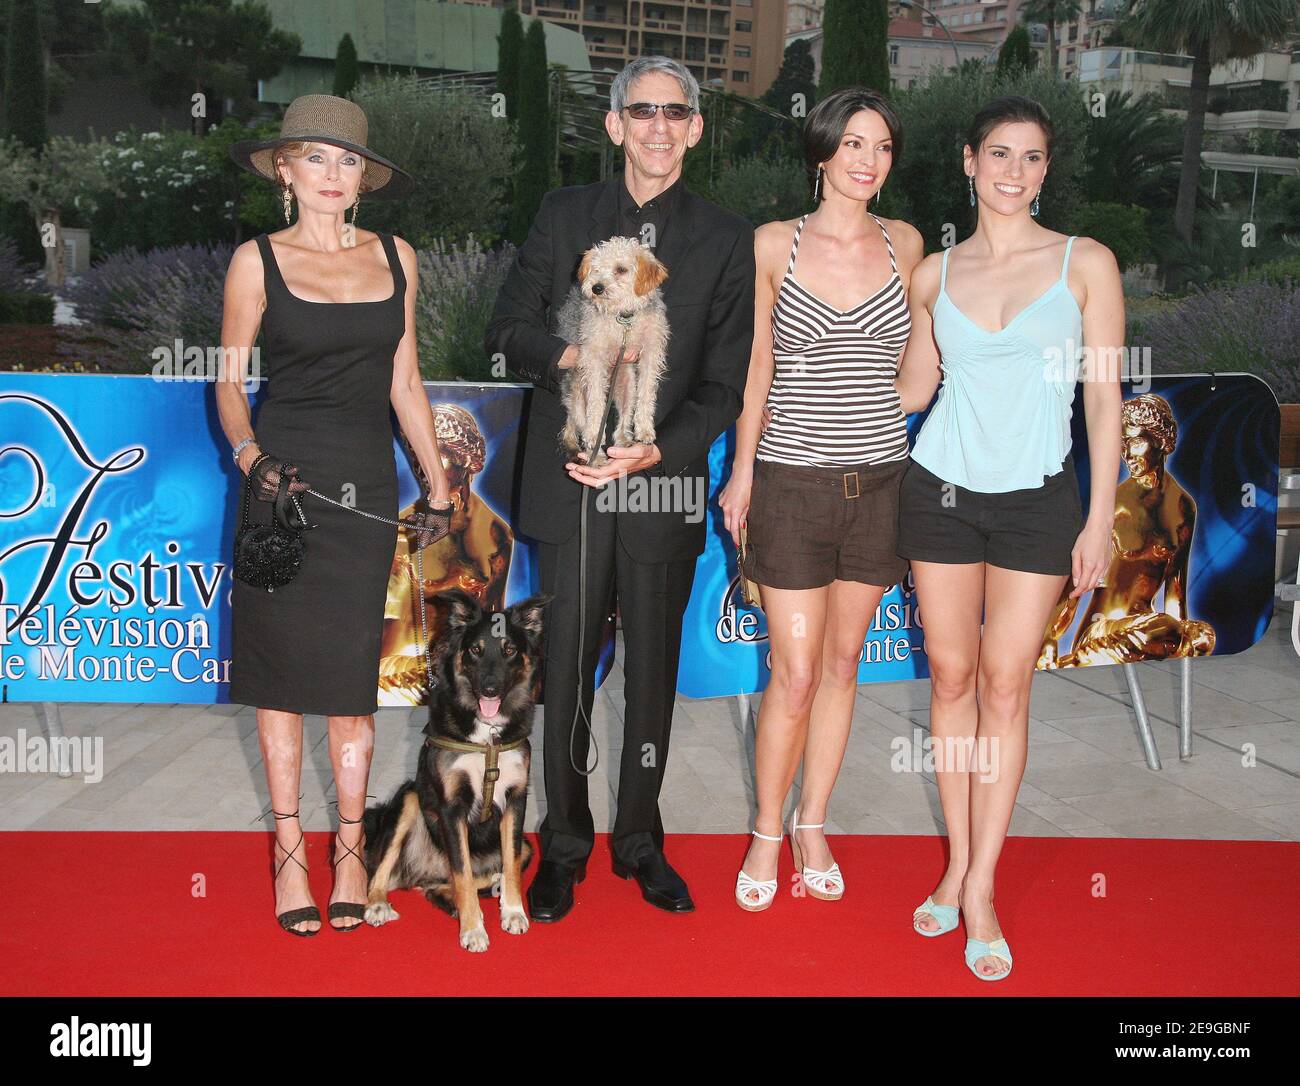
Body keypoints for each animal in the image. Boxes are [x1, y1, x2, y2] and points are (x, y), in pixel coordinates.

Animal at [361, 585, 553, 952]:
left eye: (509, 650)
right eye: (475, 650)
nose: (490, 689)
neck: (487, 736)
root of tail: (425, 871)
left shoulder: (516, 800)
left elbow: (509, 868)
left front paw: (512, 912)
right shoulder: (452, 807)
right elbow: (462, 873)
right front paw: (473, 930)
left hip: (526, 846)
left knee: (448, 884)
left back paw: (454, 899)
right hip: (409, 799)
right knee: (380, 872)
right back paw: (378, 904)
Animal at [553, 235, 670, 465]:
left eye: (621, 269)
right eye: (596, 268)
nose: (596, 288)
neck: (623, 318)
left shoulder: (650, 353)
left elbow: (646, 393)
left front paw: (644, 429)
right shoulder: (593, 357)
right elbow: (597, 403)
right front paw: (594, 433)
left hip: (627, 383)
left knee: (623, 418)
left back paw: (624, 440)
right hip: (577, 396)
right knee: (583, 427)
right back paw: (596, 458)